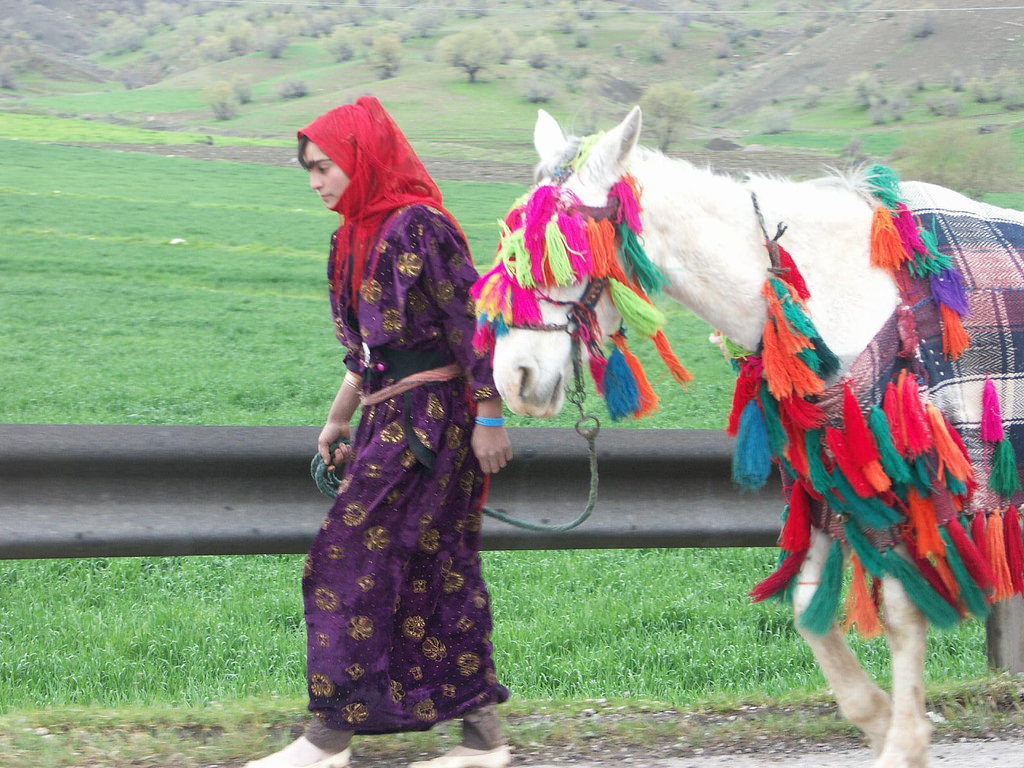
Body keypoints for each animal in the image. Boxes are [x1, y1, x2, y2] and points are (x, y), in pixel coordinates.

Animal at [479, 105, 1024, 765]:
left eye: (564, 251)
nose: (514, 377)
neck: (831, 294)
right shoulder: (831, 482)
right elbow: (809, 609)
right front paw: (877, 719)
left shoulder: (911, 485)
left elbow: (901, 612)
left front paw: (905, 743)